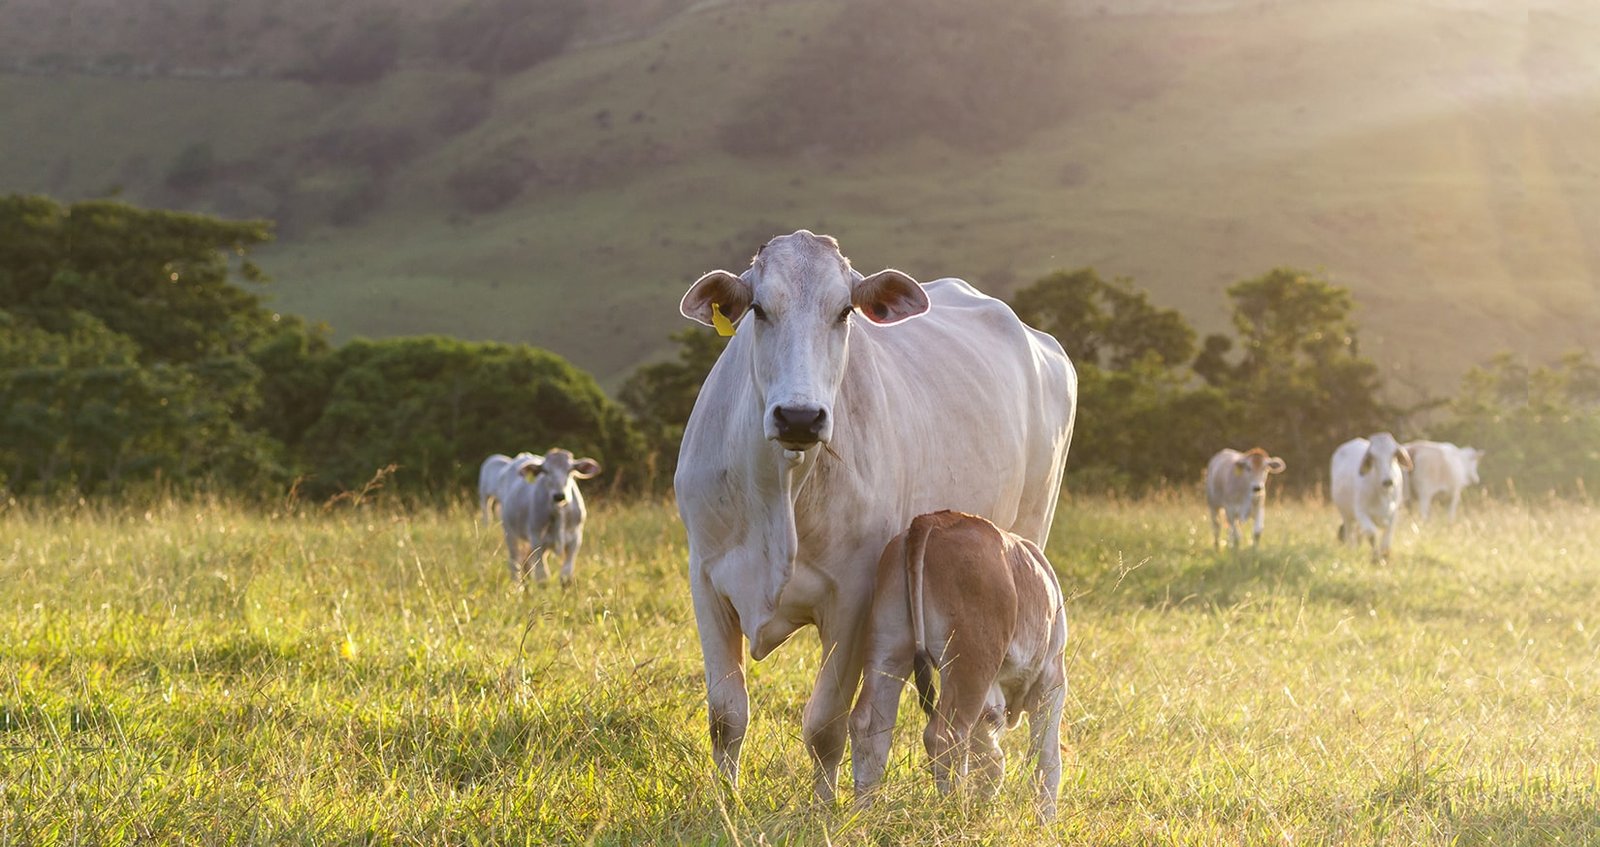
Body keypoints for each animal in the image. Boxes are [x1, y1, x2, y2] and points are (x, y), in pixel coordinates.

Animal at [499, 445, 601, 586]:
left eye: (570, 470)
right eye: (546, 471)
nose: (559, 495)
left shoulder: (575, 539)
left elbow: (566, 576)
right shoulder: (537, 539)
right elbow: (542, 578)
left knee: (526, 562)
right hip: (511, 532)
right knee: (515, 562)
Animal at [844, 509, 1068, 819]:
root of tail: (933, 520)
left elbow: (991, 759)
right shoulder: (1052, 681)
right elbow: (1047, 760)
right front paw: (1046, 820)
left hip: (888, 647)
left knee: (869, 725)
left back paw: (864, 813)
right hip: (970, 665)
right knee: (945, 735)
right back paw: (953, 811)